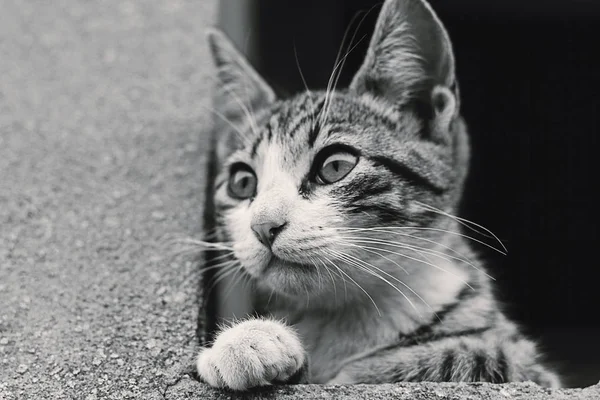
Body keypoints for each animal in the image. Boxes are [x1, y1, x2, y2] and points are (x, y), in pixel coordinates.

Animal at [197, 0, 564, 390]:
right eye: (242, 183)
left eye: (335, 166)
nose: (263, 226)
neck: (346, 316)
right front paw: (249, 340)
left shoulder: (528, 367)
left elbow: (470, 355)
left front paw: (353, 372)